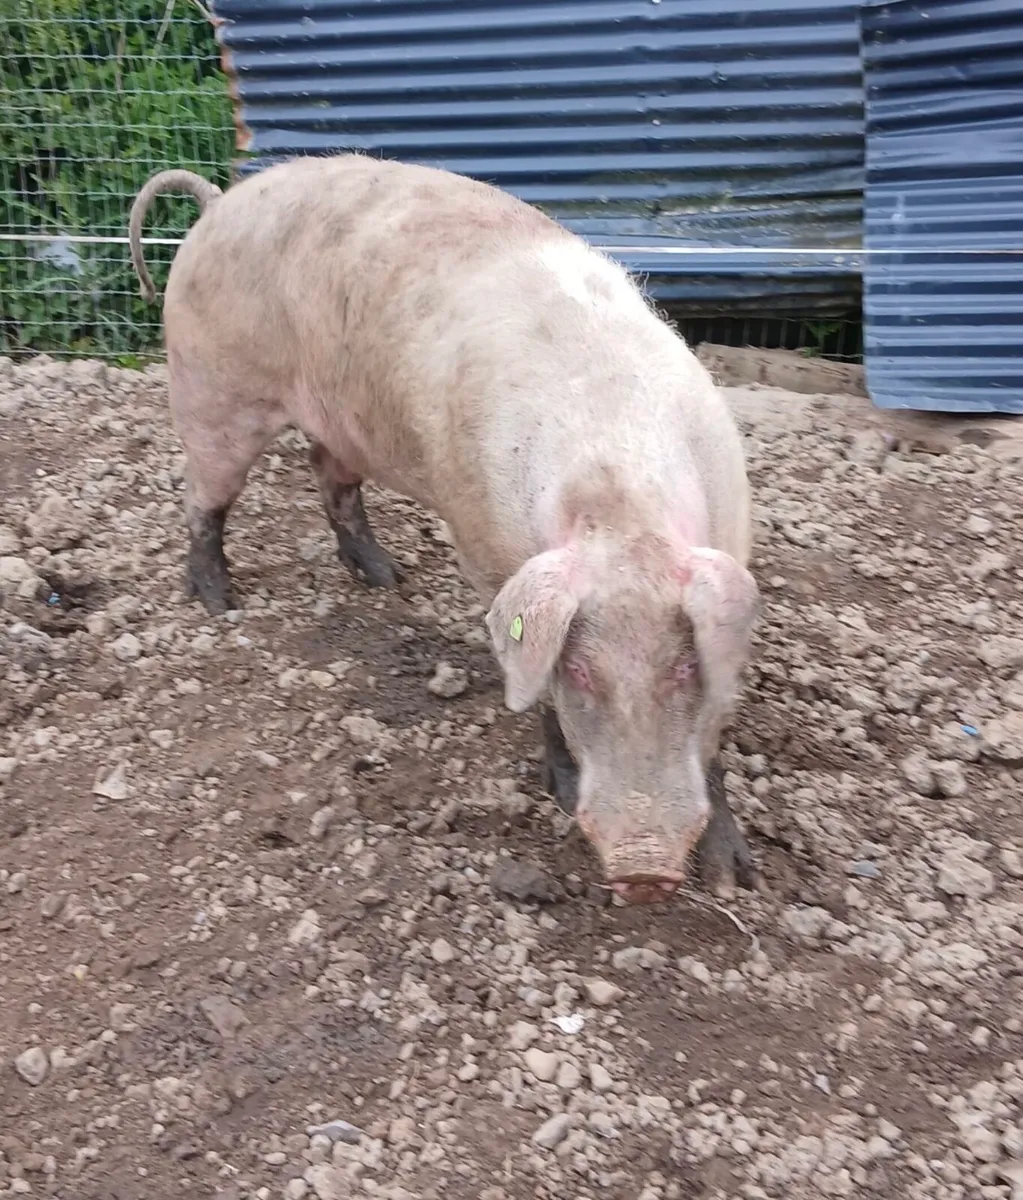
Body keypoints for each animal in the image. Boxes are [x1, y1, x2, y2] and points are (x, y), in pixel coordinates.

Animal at [128, 155, 760, 903]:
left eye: (685, 665)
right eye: (579, 670)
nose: (644, 870)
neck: (618, 499)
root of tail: (218, 202)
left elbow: (713, 735)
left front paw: (734, 877)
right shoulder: (488, 554)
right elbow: (536, 694)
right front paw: (559, 791)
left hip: (338, 422)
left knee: (331, 481)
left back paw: (386, 577)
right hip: (211, 390)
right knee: (204, 499)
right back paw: (220, 601)